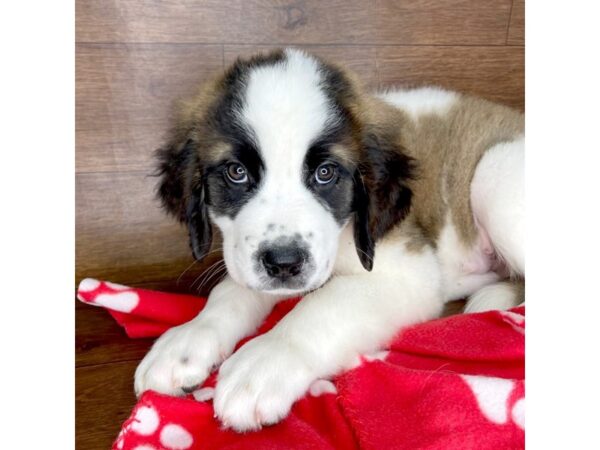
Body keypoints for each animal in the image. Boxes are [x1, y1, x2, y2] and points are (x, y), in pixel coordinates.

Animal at [134, 47, 524, 430]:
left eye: (325, 173)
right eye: (236, 172)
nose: (284, 263)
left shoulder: (409, 273)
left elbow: (320, 306)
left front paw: (265, 362)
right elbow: (230, 290)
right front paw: (189, 338)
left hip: (492, 174)